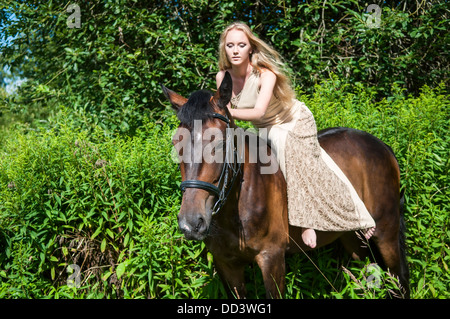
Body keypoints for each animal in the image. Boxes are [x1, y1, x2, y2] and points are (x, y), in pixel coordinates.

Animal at [162, 72, 408, 300]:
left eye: (221, 143)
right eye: (176, 143)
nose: (191, 223)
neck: (237, 204)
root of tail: (382, 146)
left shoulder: (272, 258)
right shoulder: (226, 265)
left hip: (386, 232)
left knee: (399, 281)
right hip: (352, 237)